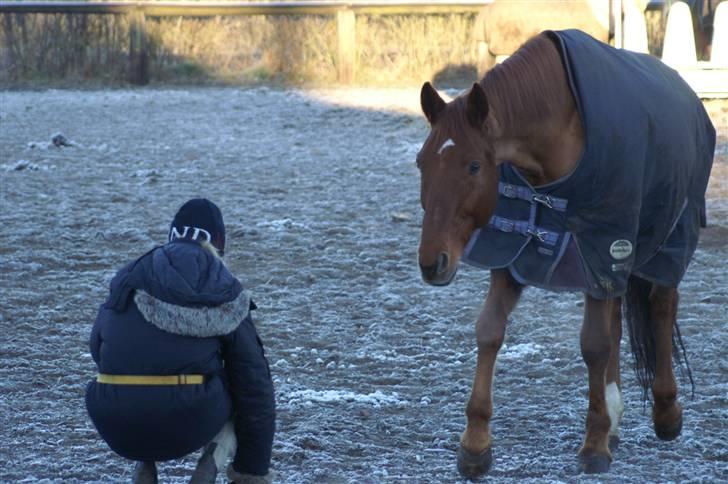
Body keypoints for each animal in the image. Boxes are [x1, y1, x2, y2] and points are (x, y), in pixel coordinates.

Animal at [418, 29, 712, 476]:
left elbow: (594, 345)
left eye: (473, 166)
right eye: (421, 163)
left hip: (667, 239)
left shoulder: (607, 246)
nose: (432, 262)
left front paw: (594, 445)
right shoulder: (515, 254)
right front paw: (475, 444)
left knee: (662, 307)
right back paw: (616, 417)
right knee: (619, 322)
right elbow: (489, 331)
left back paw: (665, 411)